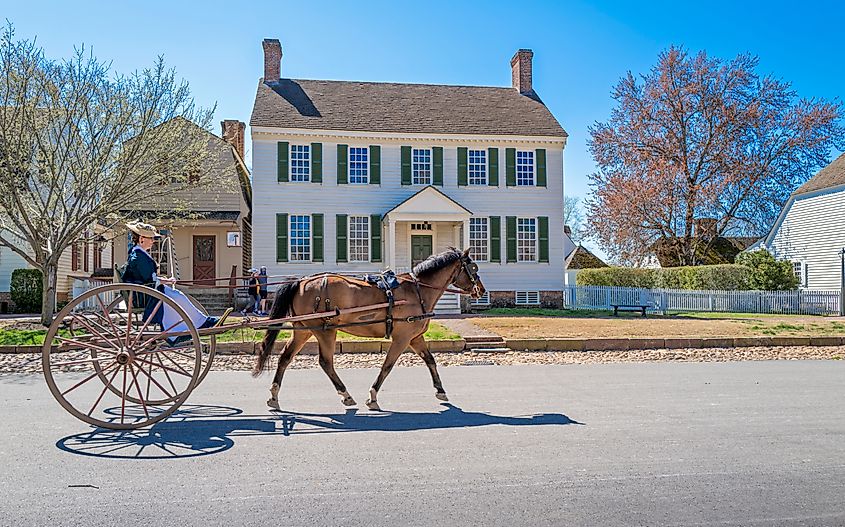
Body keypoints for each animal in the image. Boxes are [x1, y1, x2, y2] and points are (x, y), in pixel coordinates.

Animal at [254, 249, 484, 412]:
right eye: (473, 268)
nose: (481, 290)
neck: (417, 290)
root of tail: (302, 281)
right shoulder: (402, 338)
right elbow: (387, 366)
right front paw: (373, 396)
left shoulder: (415, 337)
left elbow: (430, 361)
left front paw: (440, 390)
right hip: (325, 330)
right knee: (326, 362)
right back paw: (345, 394)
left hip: (304, 330)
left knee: (285, 357)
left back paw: (274, 395)